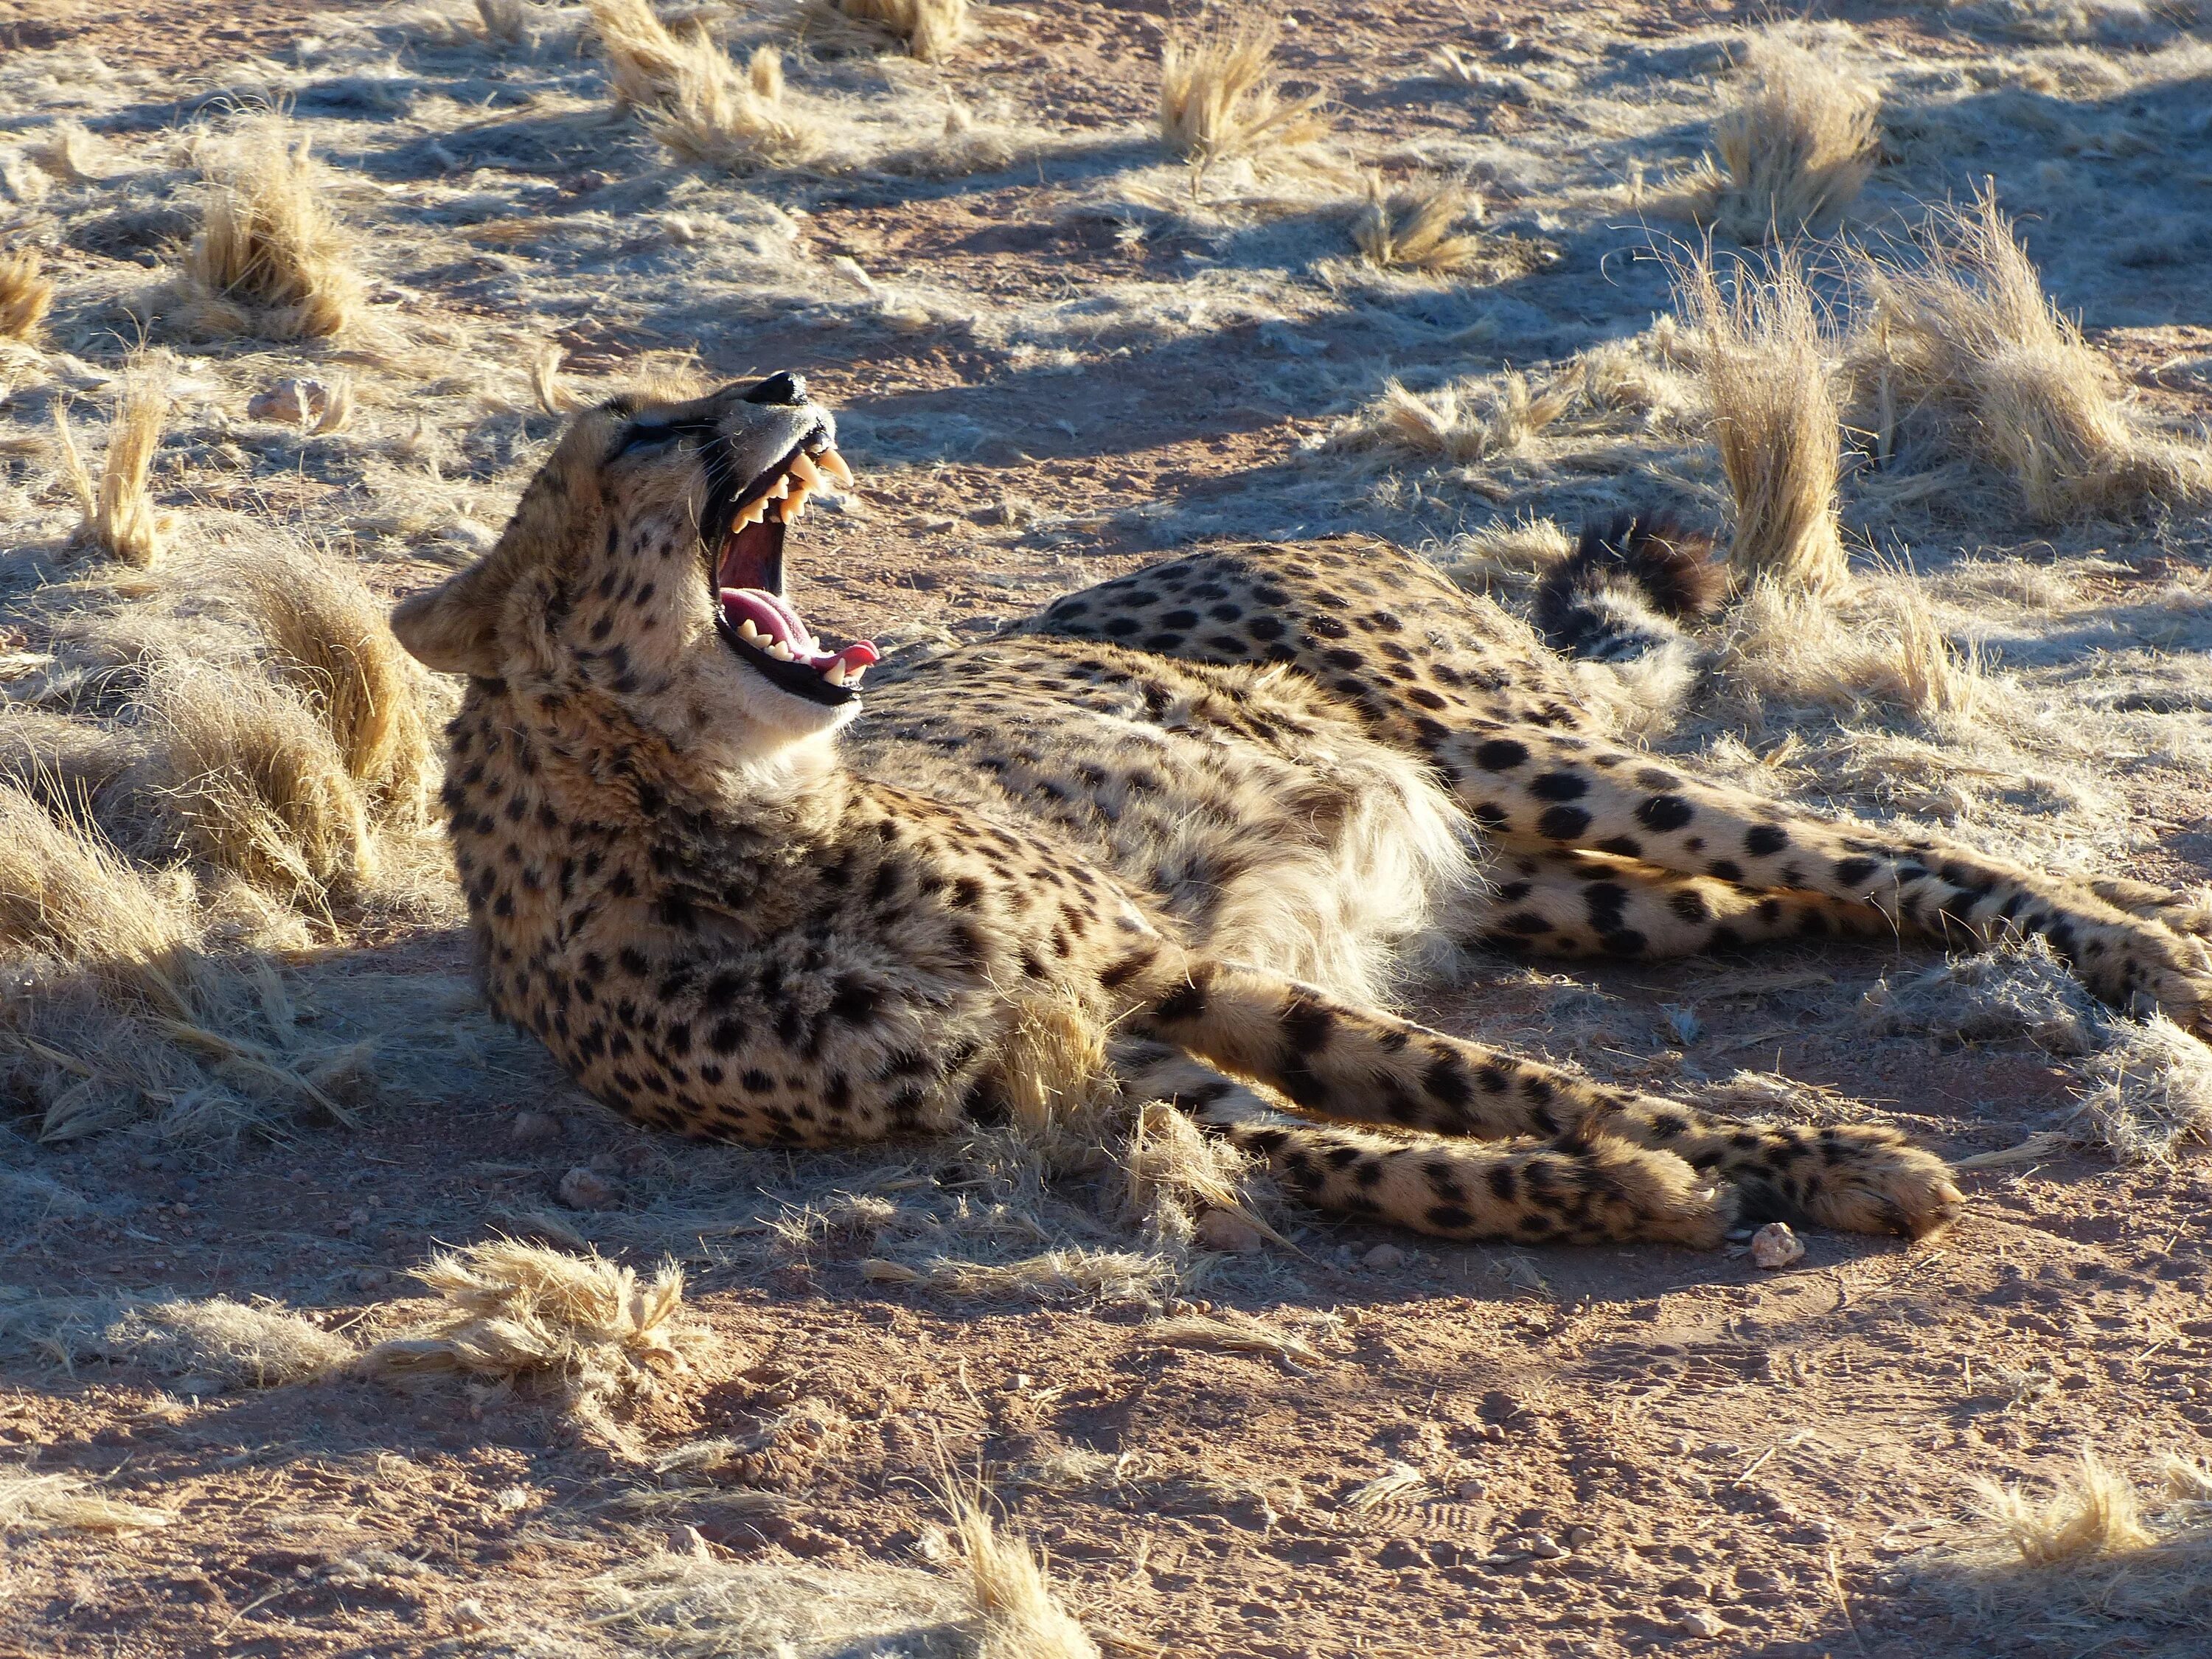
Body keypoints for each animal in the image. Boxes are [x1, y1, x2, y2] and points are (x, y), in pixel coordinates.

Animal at [389, 376, 2212, 1256]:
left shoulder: (1166, 978)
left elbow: (1498, 1084)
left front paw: (1820, 1162)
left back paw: (2149, 950)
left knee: (1896, 847)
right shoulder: (1101, 1076)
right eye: (642, 428)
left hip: (1504, 754)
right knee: (1759, 900)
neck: (722, 828)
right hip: (1572, 887)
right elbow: (1374, 1159)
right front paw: (1632, 1197)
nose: (778, 370)